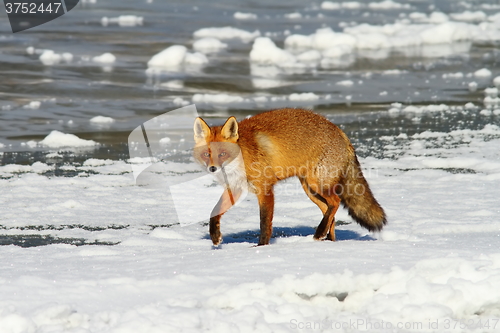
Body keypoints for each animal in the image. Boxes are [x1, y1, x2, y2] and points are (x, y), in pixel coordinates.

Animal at [192, 107, 386, 245]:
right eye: (207, 154)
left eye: (223, 154)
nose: (213, 168)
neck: (242, 157)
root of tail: (340, 131)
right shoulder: (235, 188)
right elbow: (214, 211)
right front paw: (215, 236)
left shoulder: (265, 189)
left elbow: (264, 223)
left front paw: (261, 247)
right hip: (310, 190)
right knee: (329, 210)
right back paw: (328, 240)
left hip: (317, 184)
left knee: (336, 202)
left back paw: (320, 233)